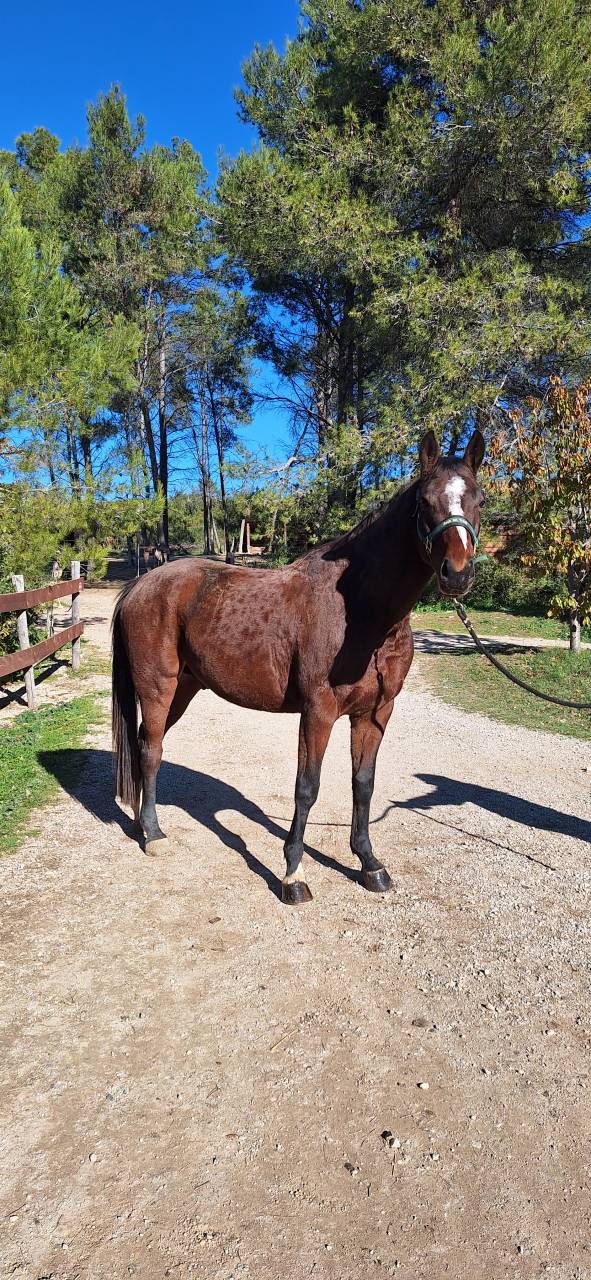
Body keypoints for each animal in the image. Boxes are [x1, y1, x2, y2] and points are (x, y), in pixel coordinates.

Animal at [112, 429, 485, 904]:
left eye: (480, 499)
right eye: (424, 500)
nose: (457, 574)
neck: (361, 613)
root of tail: (141, 584)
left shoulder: (374, 713)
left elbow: (363, 785)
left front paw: (369, 864)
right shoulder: (318, 713)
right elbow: (307, 789)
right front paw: (293, 874)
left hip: (184, 689)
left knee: (148, 746)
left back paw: (143, 824)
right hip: (157, 688)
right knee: (150, 749)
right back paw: (154, 834)